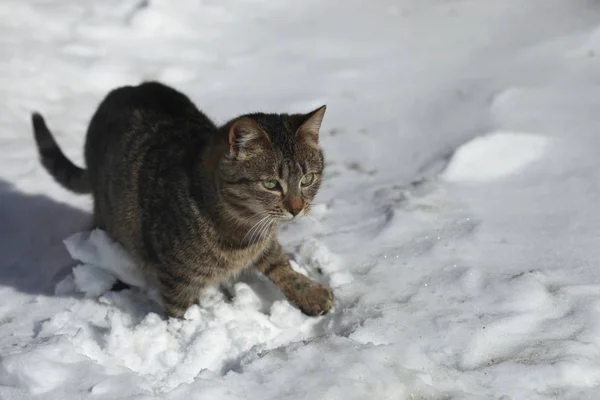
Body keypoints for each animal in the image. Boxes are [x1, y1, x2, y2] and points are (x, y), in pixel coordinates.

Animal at [31, 81, 332, 318]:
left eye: (307, 179)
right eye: (271, 184)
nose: (296, 209)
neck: (239, 226)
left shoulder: (263, 241)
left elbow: (280, 263)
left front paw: (309, 291)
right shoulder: (177, 278)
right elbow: (180, 312)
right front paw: (187, 330)